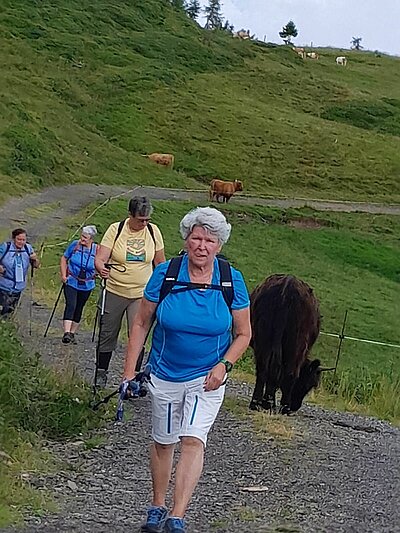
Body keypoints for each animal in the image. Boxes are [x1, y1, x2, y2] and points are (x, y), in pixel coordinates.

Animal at [250, 274, 332, 416]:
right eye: (307, 384)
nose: (296, 406)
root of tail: (288, 285)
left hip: (263, 338)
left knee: (263, 369)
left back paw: (258, 403)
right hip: (297, 343)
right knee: (289, 372)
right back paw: (283, 407)